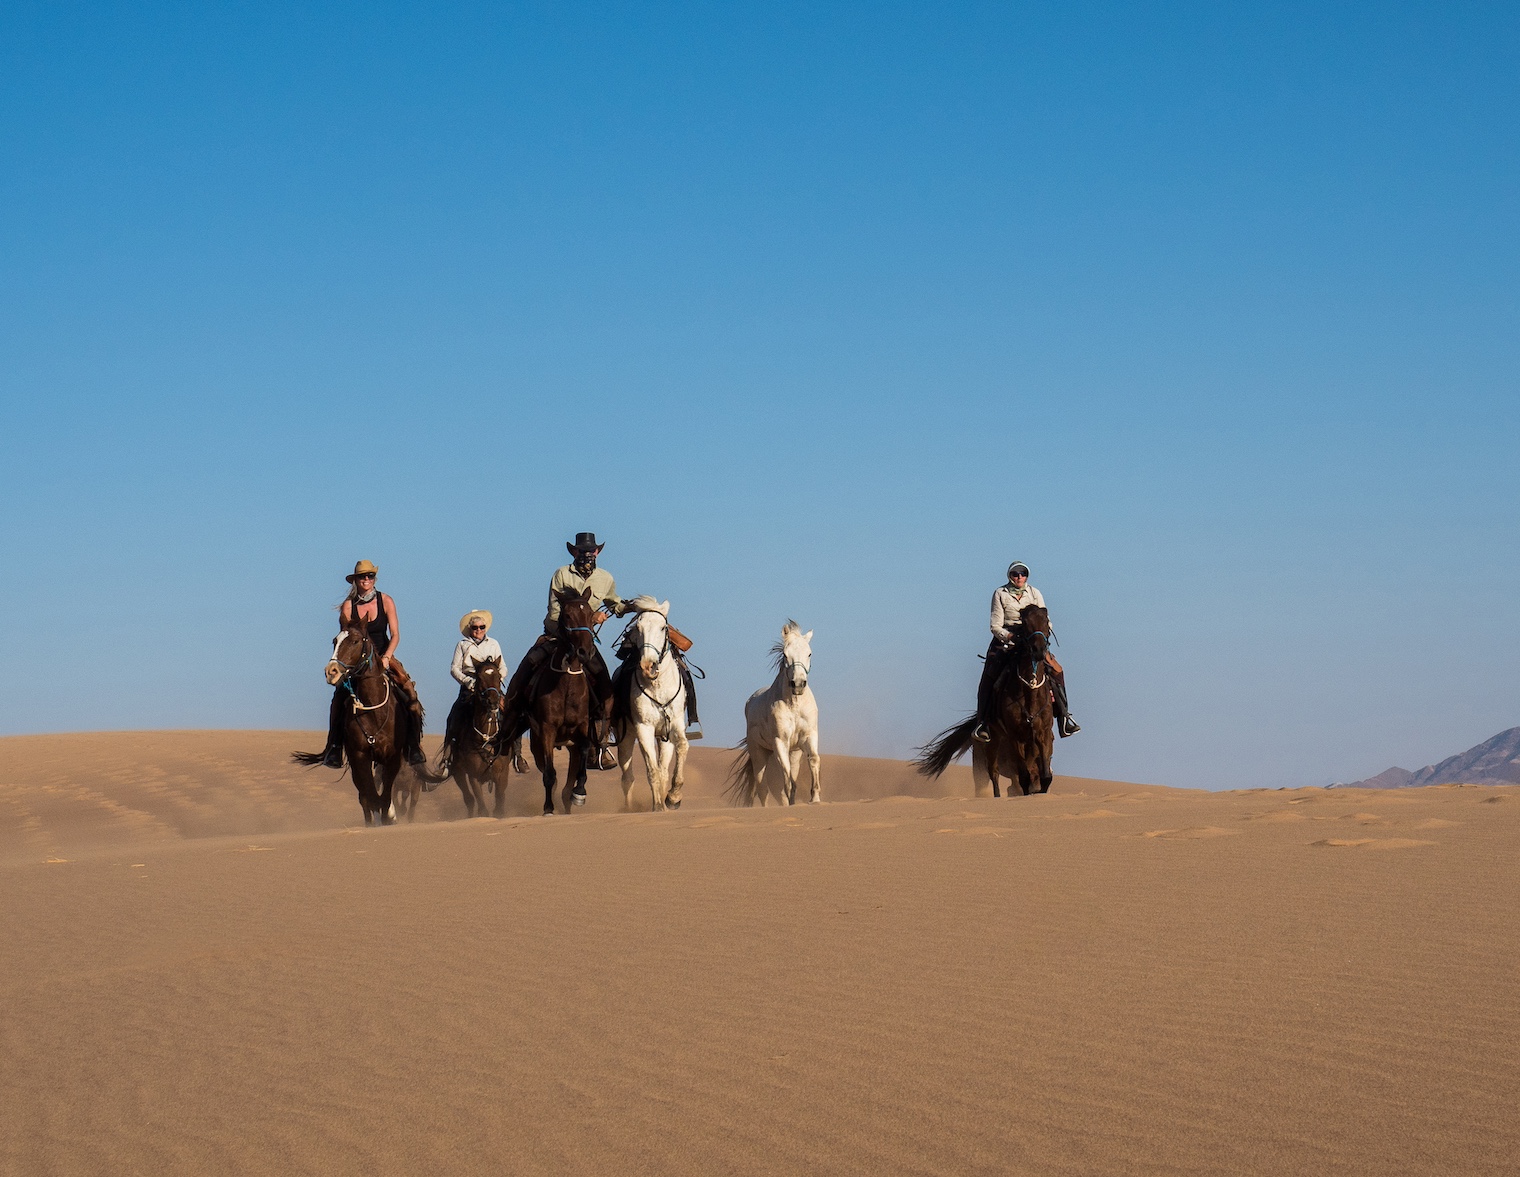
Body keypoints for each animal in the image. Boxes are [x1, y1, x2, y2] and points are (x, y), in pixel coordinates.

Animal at [510, 590, 604, 821]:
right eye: (567, 615)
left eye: (590, 614)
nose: (584, 651)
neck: (567, 686)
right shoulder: (547, 731)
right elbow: (550, 775)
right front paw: (548, 809)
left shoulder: (582, 727)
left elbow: (584, 753)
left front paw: (579, 793)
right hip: (537, 745)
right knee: (548, 773)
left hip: (570, 746)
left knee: (566, 784)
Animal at [614, 599, 693, 808]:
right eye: (638, 628)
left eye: (663, 627)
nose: (648, 666)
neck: (658, 686)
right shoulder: (644, 728)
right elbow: (652, 770)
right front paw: (657, 805)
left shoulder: (674, 724)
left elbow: (682, 747)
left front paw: (673, 797)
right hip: (625, 736)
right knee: (627, 777)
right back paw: (630, 808)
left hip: (663, 738)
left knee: (663, 769)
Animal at [723, 623, 820, 808]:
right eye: (786, 654)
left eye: (810, 653)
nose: (798, 684)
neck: (794, 705)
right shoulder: (780, 742)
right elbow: (786, 776)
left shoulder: (809, 736)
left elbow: (813, 760)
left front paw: (815, 798)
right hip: (758, 753)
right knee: (762, 787)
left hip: (794, 753)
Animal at [912, 608, 1057, 802]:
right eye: (1025, 623)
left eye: (1046, 621)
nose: (1039, 650)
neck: (1029, 693)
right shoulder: (1015, 737)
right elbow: (1023, 778)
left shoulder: (1043, 734)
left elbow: (1045, 777)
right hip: (987, 749)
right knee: (992, 776)